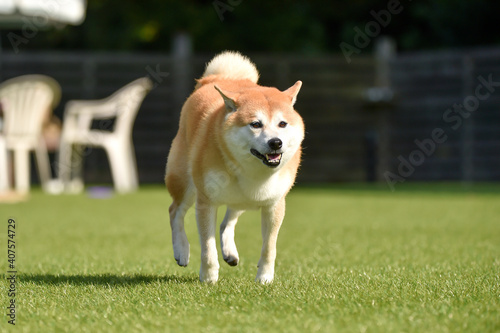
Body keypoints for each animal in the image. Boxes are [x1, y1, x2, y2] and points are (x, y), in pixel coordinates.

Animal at [165, 50, 304, 282]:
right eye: (256, 124)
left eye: (282, 124)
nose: (276, 142)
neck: (252, 171)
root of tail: (218, 78)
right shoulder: (206, 202)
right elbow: (208, 248)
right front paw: (209, 277)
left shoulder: (274, 204)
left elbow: (269, 247)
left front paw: (264, 278)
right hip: (186, 183)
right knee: (175, 211)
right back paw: (181, 250)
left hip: (240, 199)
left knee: (227, 222)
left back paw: (229, 252)